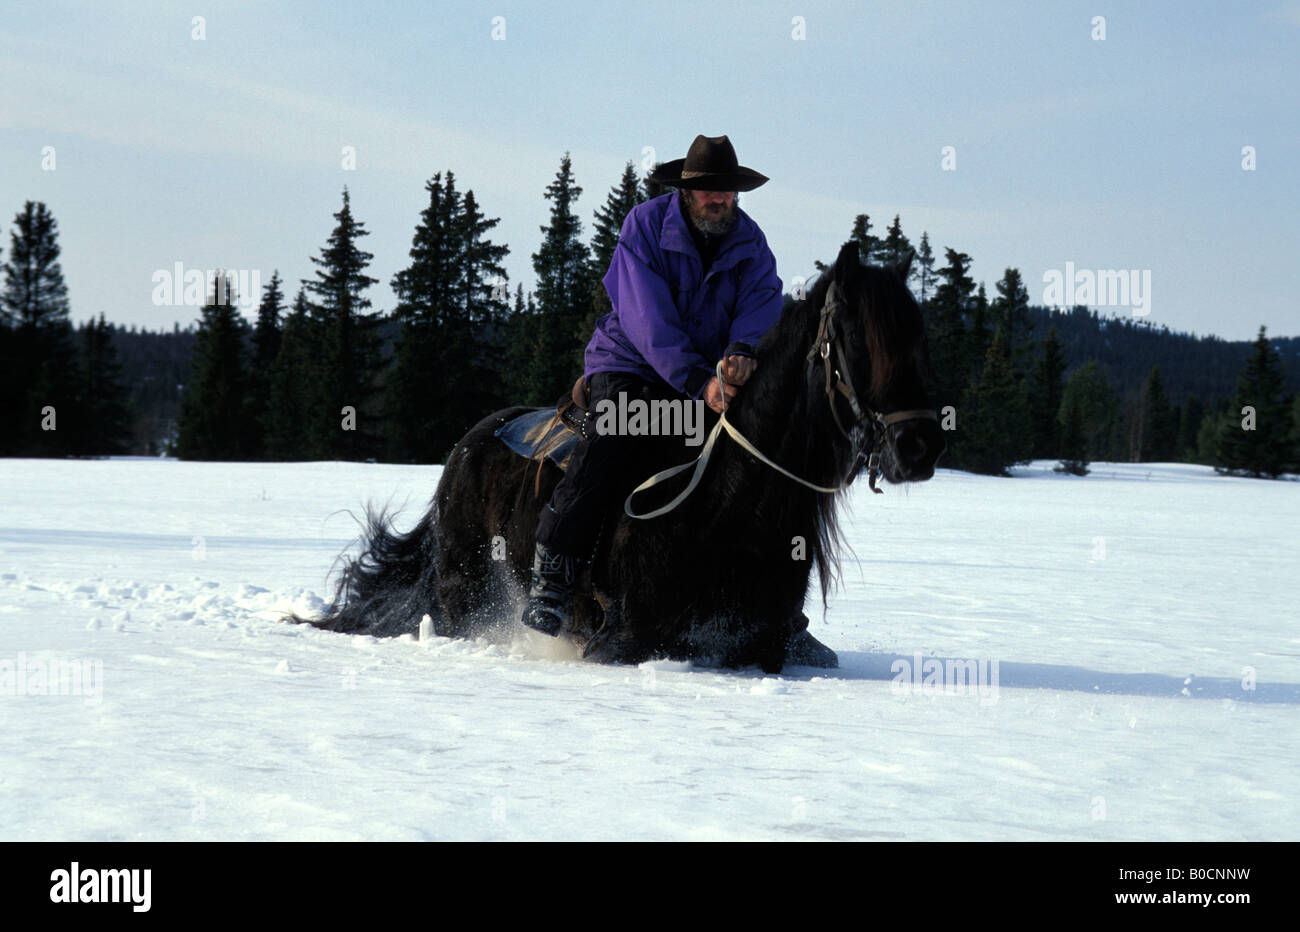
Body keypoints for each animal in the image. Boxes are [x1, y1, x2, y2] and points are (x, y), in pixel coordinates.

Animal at [297, 243, 941, 670]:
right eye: (857, 338)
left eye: (918, 337)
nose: (919, 447)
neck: (726, 503)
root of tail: (469, 443)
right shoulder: (623, 643)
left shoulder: (762, 647)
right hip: (463, 592)